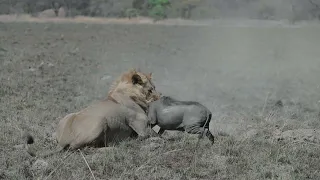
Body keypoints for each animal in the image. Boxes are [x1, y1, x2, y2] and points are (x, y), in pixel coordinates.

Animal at [24, 68, 162, 157]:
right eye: (151, 89)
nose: (160, 96)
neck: (129, 93)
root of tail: (63, 138)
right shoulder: (141, 127)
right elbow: (154, 135)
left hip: (69, 116)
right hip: (100, 122)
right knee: (82, 149)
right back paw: (112, 147)